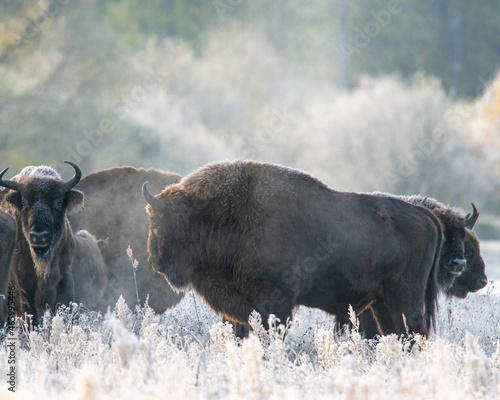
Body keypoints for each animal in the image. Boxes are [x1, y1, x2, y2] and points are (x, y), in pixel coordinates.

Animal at [143, 159, 444, 338]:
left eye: (158, 223)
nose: (155, 260)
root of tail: (425, 216)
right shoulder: (243, 309)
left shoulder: (276, 304)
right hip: (381, 302)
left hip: (405, 298)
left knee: (414, 334)